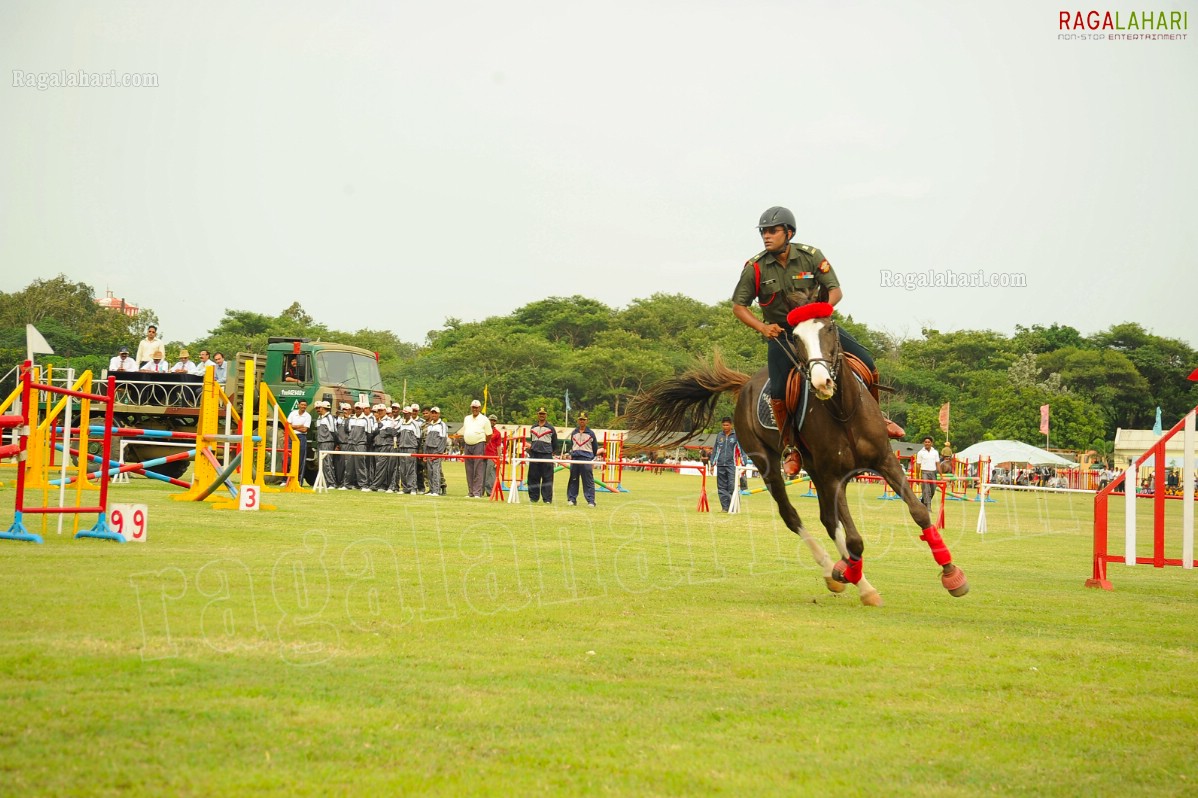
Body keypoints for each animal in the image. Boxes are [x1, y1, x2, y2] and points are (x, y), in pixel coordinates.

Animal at [622, 301, 967, 606]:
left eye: (829, 329)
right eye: (797, 339)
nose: (822, 381)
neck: (843, 411)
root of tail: (746, 384)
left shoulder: (883, 462)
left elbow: (919, 512)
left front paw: (951, 574)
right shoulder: (834, 477)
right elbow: (853, 537)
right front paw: (848, 571)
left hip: (815, 470)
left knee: (828, 520)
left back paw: (850, 575)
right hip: (770, 464)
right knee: (794, 516)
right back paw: (839, 573)